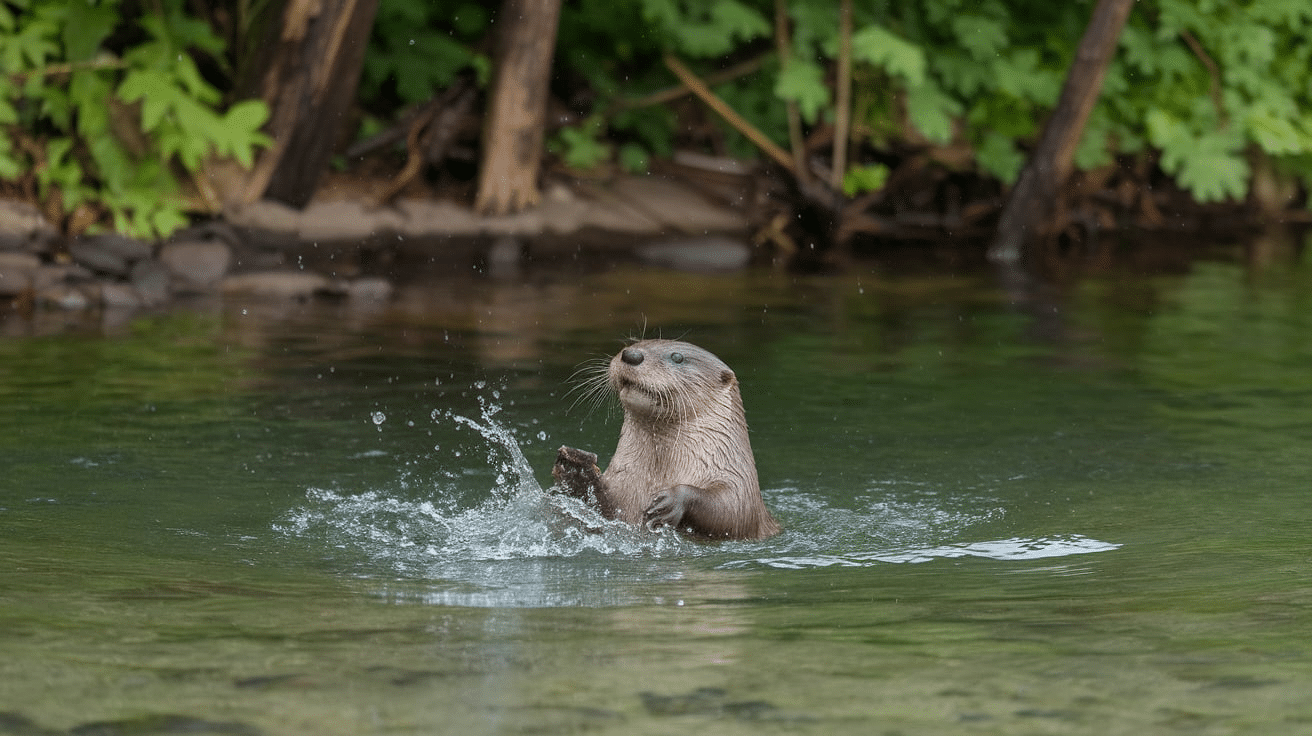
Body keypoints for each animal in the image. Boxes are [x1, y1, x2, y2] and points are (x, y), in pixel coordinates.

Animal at [551, 339, 781, 540]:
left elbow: (734, 510)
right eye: (633, 343)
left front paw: (671, 501)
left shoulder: (738, 482)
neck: (659, 475)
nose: (631, 355)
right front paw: (576, 469)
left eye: (677, 357)